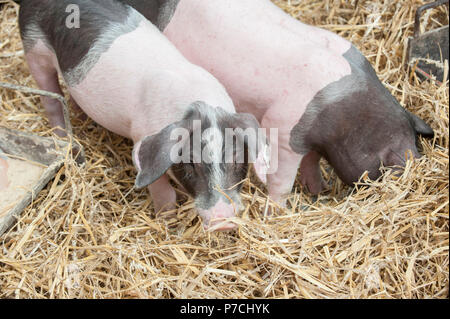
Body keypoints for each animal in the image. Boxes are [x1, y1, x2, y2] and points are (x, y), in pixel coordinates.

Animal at [19, 0, 268, 230]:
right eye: (190, 164)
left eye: (237, 159)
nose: (223, 221)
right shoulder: (141, 140)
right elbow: (160, 187)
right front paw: (166, 220)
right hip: (35, 51)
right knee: (51, 97)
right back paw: (63, 137)